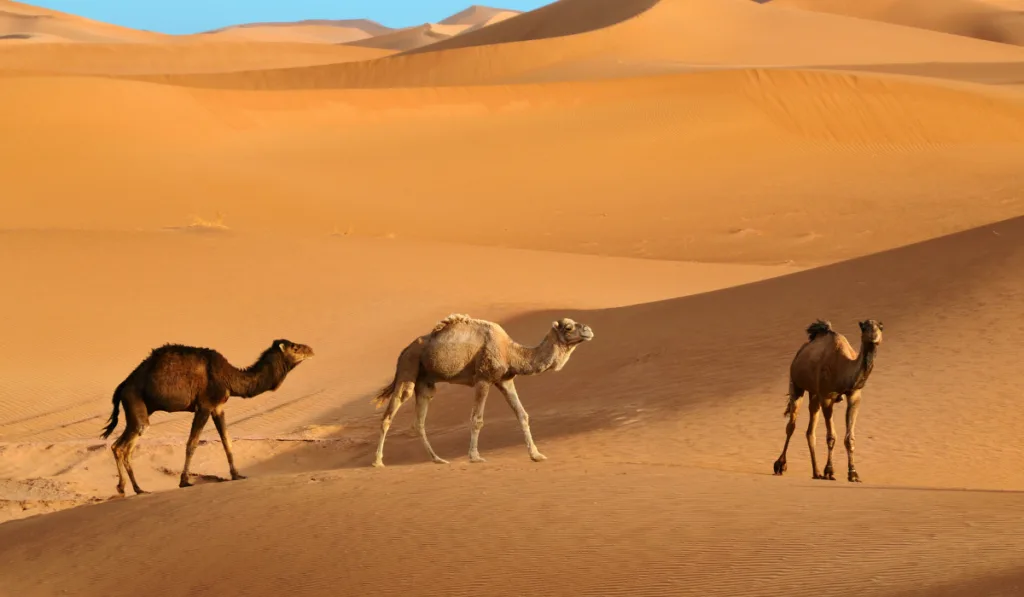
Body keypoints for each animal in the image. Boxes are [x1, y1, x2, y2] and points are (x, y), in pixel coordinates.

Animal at [102, 337, 315, 497]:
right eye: (295, 347)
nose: (311, 349)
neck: (230, 377)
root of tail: (123, 385)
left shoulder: (217, 407)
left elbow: (227, 441)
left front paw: (237, 475)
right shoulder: (204, 406)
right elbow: (192, 443)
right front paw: (184, 481)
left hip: (139, 407)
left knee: (121, 446)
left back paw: (132, 488)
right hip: (135, 401)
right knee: (124, 444)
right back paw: (131, 488)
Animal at [370, 315, 593, 468]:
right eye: (568, 327)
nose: (589, 330)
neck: (510, 352)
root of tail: (404, 351)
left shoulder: (505, 380)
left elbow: (522, 415)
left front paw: (536, 455)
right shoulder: (483, 379)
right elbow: (477, 419)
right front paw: (475, 456)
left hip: (425, 383)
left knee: (419, 422)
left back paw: (438, 459)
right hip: (407, 370)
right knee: (389, 414)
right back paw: (378, 461)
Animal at [774, 319, 880, 483]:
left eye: (881, 327)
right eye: (864, 327)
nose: (874, 336)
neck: (844, 369)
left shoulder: (854, 395)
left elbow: (850, 438)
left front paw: (853, 473)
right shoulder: (826, 397)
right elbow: (831, 436)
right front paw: (829, 471)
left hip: (814, 394)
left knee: (810, 430)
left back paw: (816, 472)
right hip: (796, 384)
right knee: (791, 426)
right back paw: (780, 465)